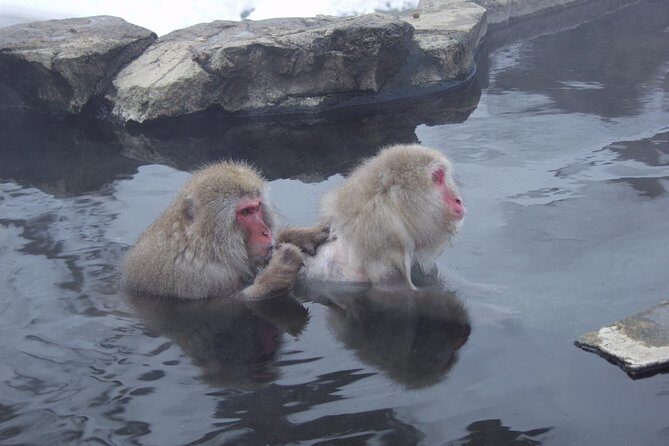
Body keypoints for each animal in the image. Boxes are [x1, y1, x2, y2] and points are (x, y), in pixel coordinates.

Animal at [121, 161, 329, 300]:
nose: (265, 232)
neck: (203, 246)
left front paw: (302, 236)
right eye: (245, 212)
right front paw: (278, 272)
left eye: (257, 207)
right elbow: (229, 305)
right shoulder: (198, 277)